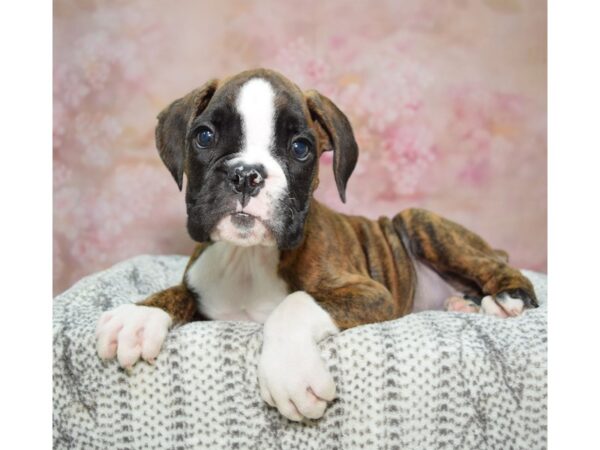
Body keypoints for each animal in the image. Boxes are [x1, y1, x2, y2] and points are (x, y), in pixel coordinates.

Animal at [96, 67, 536, 422]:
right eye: (204, 136)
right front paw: (140, 316)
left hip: (418, 221)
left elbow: (295, 303)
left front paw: (290, 373)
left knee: (500, 268)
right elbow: (176, 292)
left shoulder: (370, 293)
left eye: (300, 148)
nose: (246, 175)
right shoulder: (200, 287)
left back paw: (504, 299)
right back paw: (463, 303)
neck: (248, 257)